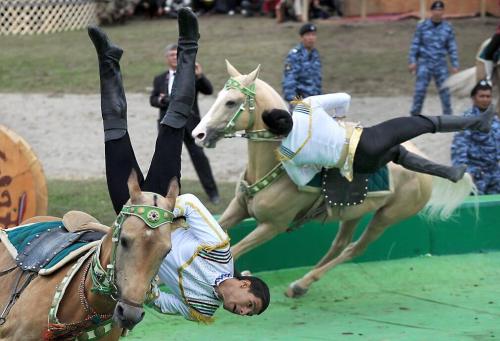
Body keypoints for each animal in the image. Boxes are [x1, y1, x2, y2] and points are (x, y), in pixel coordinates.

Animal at [192, 61, 476, 298]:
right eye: (218, 97)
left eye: (231, 102)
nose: (198, 134)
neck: (271, 167)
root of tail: (424, 172)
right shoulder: (238, 209)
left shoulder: (271, 226)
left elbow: (233, 250)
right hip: (354, 212)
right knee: (339, 244)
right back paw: (300, 284)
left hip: (387, 216)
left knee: (355, 249)